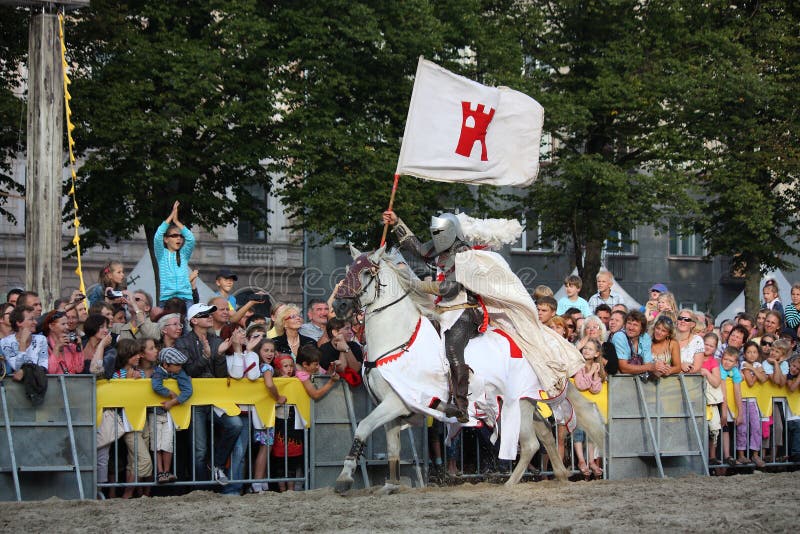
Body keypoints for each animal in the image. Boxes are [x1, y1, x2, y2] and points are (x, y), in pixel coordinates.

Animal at [332, 247, 608, 494]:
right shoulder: (392, 408)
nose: (340, 306)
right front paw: (390, 485)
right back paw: (560, 475)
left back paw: (510, 484)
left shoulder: (396, 403)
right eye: (348, 270)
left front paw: (344, 479)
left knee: (530, 444)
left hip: (515, 403)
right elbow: (392, 448)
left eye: (366, 272)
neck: (399, 339)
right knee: (546, 435)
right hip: (525, 401)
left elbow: (362, 427)